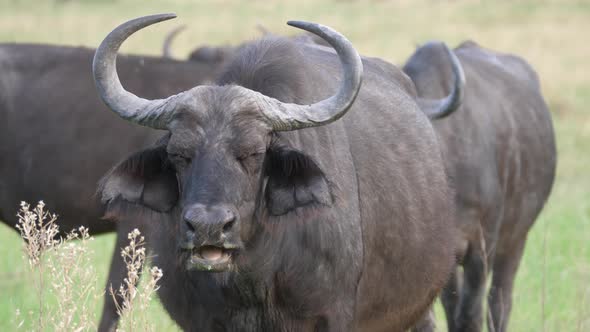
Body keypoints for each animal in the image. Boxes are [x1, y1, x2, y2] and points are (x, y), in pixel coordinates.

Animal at [95, 13, 468, 332]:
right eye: (179, 154)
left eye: (254, 153)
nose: (207, 227)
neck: (254, 276)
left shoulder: (333, 315)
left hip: (419, 307)